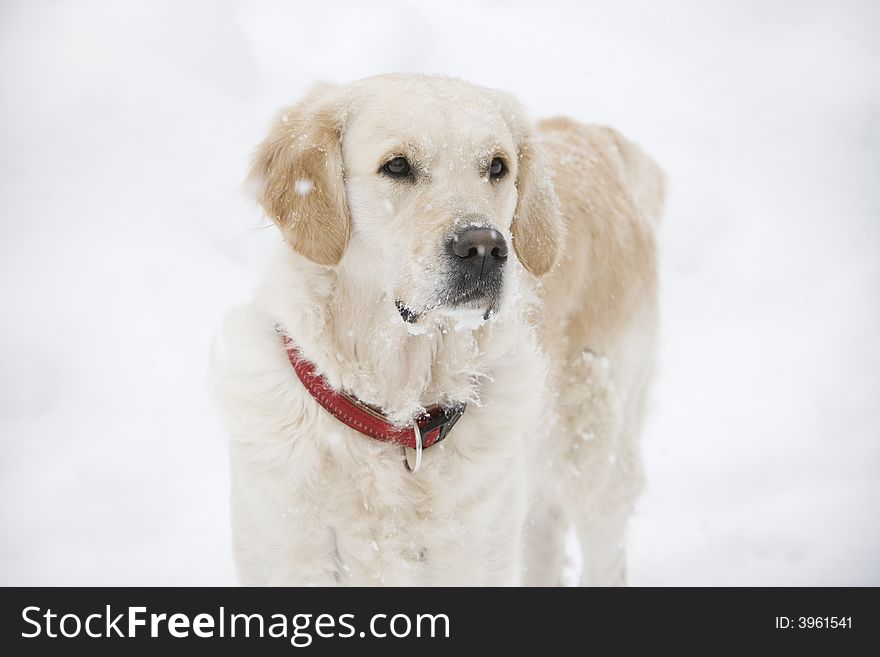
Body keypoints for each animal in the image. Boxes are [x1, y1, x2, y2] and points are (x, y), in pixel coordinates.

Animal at [213, 73, 664, 584]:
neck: (398, 418)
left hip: (591, 442)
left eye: (497, 166)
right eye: (397, 165)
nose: (484, 247)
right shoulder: (288, 554)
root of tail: (592, 137)